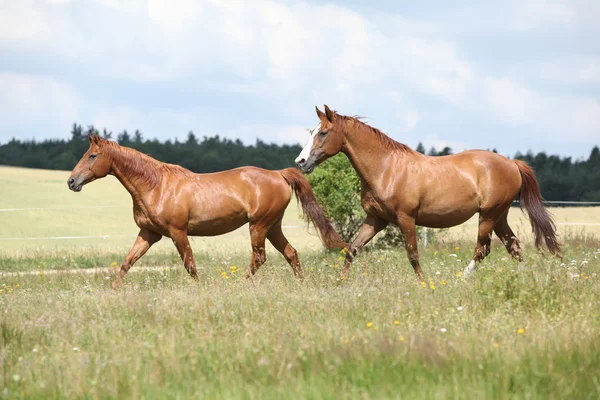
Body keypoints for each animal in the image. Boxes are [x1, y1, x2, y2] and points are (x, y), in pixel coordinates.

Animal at [67, 134, 344, 288]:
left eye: (92, 156)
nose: (71, 181)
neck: (156, 186)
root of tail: (279, 174)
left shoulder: (177, 232)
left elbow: (190, 265)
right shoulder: (149, 233)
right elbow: (127, 262)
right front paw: (113, 290)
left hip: (259, 226)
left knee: (259, 258)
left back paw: (240, 285)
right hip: (273, 226)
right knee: (291, 253)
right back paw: (301, 284)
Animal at [298, 106, 560, 282]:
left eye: (323, 133)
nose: (301, 162)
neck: (386, 168)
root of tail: (512, 163)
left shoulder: (406, 219)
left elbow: (412, 254)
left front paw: (424, 284)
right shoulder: (375, 219)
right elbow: (352, 249)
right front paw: (339, 282)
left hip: (489, 215)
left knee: (482, 249)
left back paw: (461, 279)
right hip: (500, 216)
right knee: (513, 246)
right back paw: (524, 278)